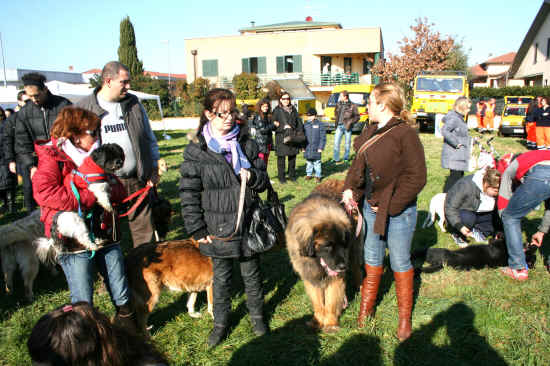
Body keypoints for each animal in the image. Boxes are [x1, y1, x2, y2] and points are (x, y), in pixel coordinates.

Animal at [286, 179, 364, 334]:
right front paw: (317, 321)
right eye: (327, 245)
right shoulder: (310, 275)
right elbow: (317, 302)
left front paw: (330, 324)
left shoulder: (336, 278)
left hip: (355, 248)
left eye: (343, 244)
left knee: (357, 268)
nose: (342, 266)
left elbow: (331, 302)